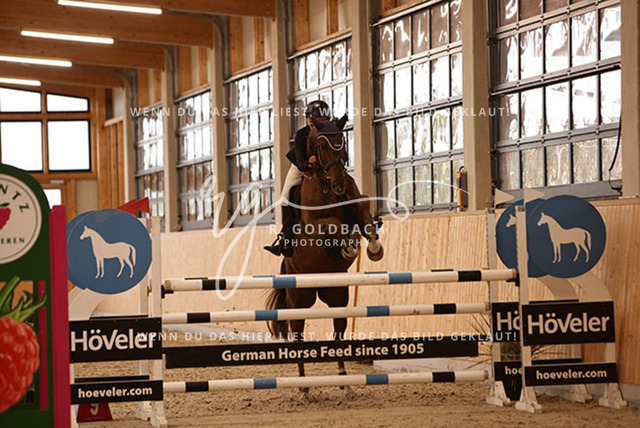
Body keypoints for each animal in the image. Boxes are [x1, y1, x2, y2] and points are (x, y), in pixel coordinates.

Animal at [266, 115, 384, 393]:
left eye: (342, 141)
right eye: (321, 146)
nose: (339, 184)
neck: (326, 186)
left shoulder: (354, 205)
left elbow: (363, 205)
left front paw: (373, 247)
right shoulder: (316, 226)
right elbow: (331, 223)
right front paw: (348, 247)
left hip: (337, 295)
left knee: (338, 331)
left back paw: (343, 380)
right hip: (300, 299)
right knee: (297, 334)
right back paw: (304, 386)